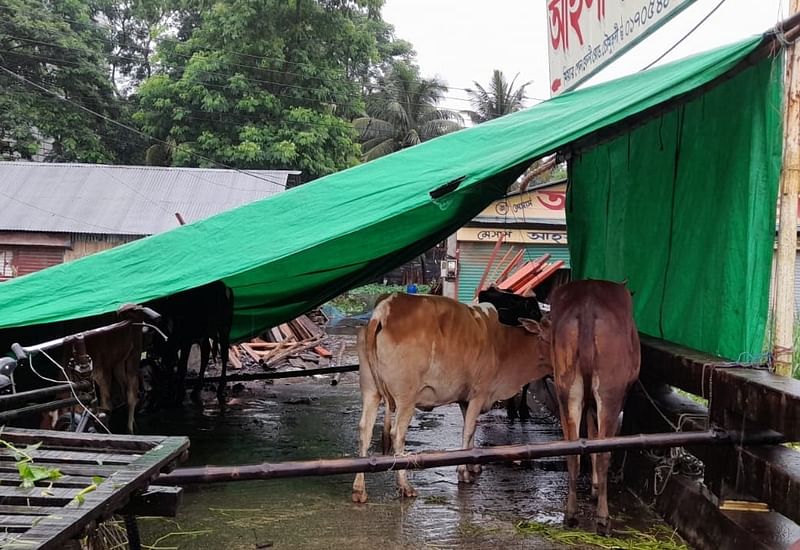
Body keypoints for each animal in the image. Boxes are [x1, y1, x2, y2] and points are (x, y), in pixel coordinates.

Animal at [354, 294, 552, 504]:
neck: (501, 344)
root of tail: (385, 307)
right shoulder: (479, 393)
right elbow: (468, 430)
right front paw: (463, 472)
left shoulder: (465, 399)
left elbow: (470, 430)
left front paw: (474, 466)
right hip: (406, 398)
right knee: (397, 435)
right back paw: (405, 486)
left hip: (371, 391)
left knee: (365, 430)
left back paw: (359, 489)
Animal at [548, 280, 640, 536]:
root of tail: (588, 306)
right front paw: (596, 487)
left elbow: (589, 434)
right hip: (610, 391)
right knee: (605, 451)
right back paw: (603, 519)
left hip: (566, 387)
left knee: (572, 449)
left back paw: (570, 515)